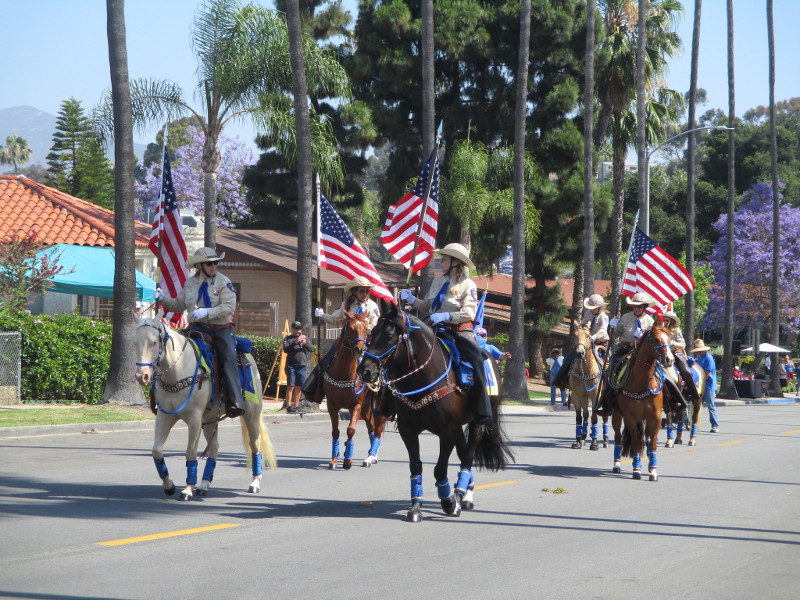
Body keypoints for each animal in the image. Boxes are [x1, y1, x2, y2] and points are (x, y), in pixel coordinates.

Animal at [133, 314, 276, 500]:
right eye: (135, 343)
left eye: (154, 342)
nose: (141, 376)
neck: (178, 371)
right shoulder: (165, 416)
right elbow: (156, 451)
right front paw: (169, 486)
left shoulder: (194, 418)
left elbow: (190, 452)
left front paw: (187, 489)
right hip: (209, 420)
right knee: (214, 448)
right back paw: (204, 484)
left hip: (251, 415)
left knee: (255, 444)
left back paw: (255, 483)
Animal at [321, 311, 388, 469]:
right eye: (350, 328)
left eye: (365, 327)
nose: (360, 348)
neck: (344, 374)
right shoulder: (332, 405)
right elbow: (335, 431)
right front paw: (334, 459)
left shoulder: (356, 404)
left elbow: (350, 430)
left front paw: (347, 461)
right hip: (365, 406)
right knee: (371, 425)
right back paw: (371, 455)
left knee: (377, 428)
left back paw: (371, 456)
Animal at [358, 300, 513, 522]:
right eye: (373, 332)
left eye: (389, 335)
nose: (365, 370)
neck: (424, 378)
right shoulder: (408, 429)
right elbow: (416, 466)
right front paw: (416, 507)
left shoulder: (447, 431)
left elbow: (440, 470)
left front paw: (449, 502)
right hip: (458, 428)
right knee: (463, 453)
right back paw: (464, 492)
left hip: (477, 423)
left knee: (468, 457)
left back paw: (462, 496)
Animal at [607, 325, 674, 481]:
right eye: (656, 339)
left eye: (669, 339)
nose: (669, 359)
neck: (641, 384)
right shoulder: (630, 418)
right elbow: (636, 443)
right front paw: (636, 469)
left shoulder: (655, 417)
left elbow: (653, 443)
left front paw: (653, 471)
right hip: (617, 416)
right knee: (618, 438)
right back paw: (617, 464)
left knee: (647, 440)